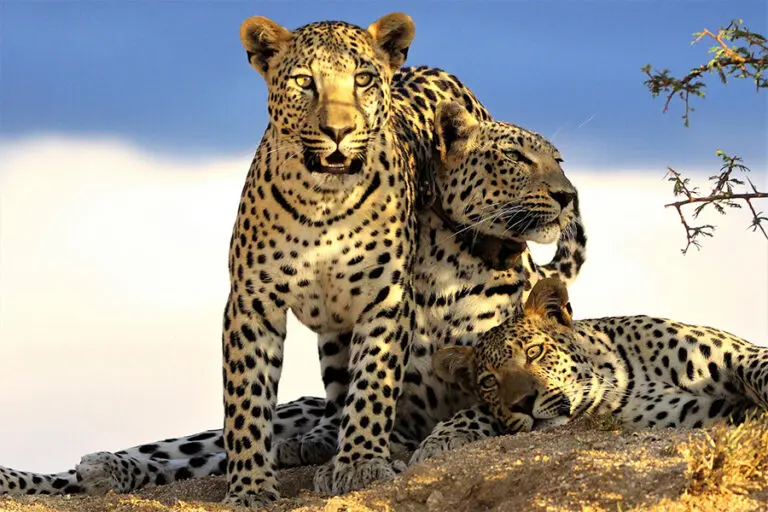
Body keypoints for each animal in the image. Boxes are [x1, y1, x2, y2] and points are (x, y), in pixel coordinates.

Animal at [0, 97, 588, 498]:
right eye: (516, 156)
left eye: (559, 159)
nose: (568, 195)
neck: (448, 263)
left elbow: (479, 413)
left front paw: (437, 442)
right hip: (277, 411)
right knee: (184, 452)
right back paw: (90, 468)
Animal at [433, 276, 768, 444]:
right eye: (489, 381)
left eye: (533, 351)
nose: (523, 403)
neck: (620, 384)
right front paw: (444, 436)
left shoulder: (739, 353)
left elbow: (759, 369)